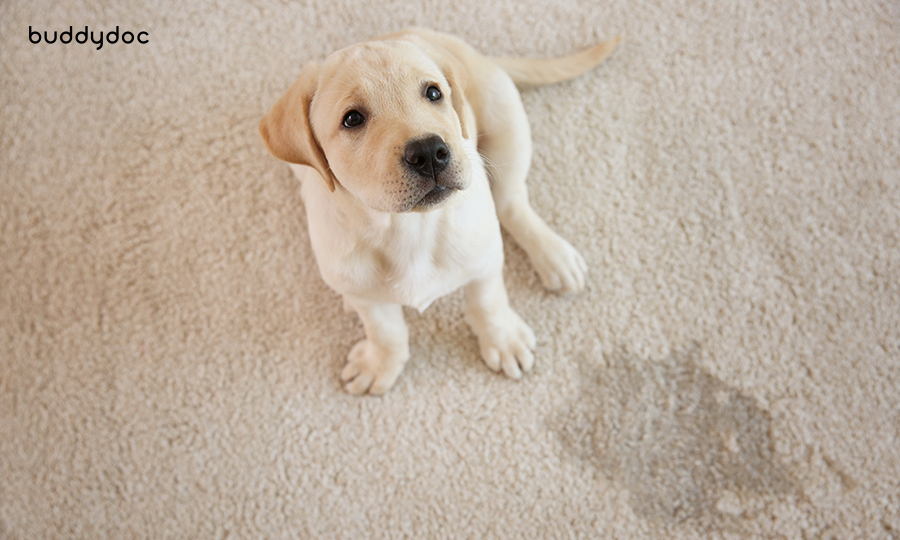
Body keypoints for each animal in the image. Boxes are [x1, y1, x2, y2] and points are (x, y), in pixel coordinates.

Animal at [262, 27, 620, 394]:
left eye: (433, 93)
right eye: (352, 119)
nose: (429, 152)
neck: (408, 228)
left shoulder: (485, 259)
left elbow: (487, 303)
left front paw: (503, 340)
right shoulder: (362, 289)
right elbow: (386, 331)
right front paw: (380, 364)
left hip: (506, 121)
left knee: (511, 202)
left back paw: (554, 256)